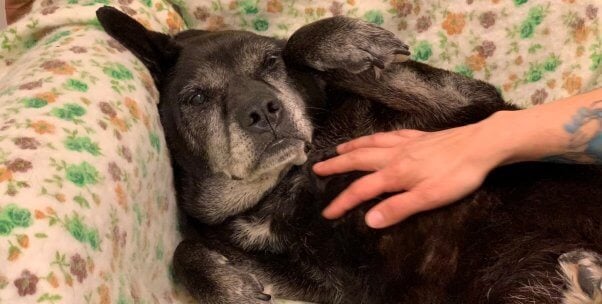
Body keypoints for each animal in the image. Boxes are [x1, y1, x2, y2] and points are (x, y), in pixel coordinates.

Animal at [95, 7, 600, 304]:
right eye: (196, 98)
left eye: (270, 64)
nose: (262, 109)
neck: (287, 182)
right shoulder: (313, 283)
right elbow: (184, 250)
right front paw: (230, 289)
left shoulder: (469, 105)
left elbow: (308, 45)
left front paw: (345, 43)